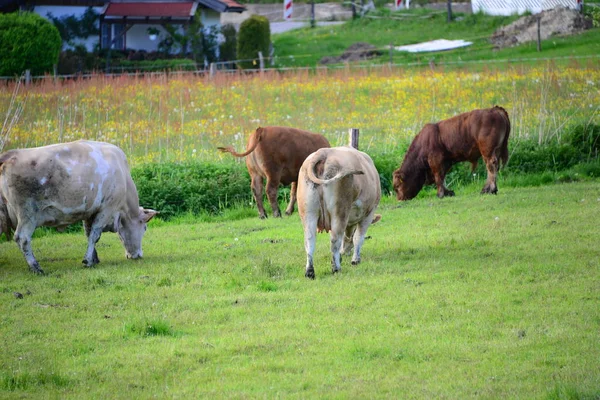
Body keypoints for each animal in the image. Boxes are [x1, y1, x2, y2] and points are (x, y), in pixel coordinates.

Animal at [0, 141, 157, 276]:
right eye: (144, 228)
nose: (138, 255)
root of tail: (10, 155)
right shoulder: (107, 209)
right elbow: (95, 235)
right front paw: (88, 261)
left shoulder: (90, 212)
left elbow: (89, 234)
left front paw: (94, 258)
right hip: (28, 214)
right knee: (22, 238)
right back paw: (36, 267)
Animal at [298, 145, 382, 280]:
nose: (346, 252)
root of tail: (324, 152)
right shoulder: (369, 213)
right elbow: (358, 238)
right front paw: (355, 260)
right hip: (339, 212)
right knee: (335, 239)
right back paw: (336, 268)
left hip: (308, 213)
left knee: (309, 241)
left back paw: (310, 272)